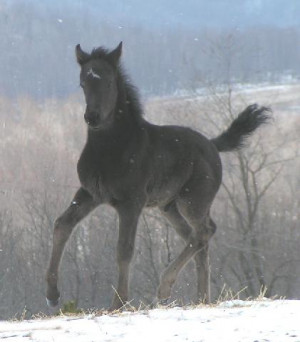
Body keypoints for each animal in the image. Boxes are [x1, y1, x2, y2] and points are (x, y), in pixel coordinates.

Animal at [45, 42, 270, 310]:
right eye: (82, 83)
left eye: (108, 81)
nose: (92, 117)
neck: (111, 149)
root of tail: (213, 145)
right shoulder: (90, 193)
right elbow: (62, 225)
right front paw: (52, 294)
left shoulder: (132, 202)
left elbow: (124, 249)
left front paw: (118, 302)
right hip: (169, 206)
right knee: (197, 237)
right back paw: (201, 298)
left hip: (193, 200)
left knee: (204, 231)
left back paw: (165, 288)